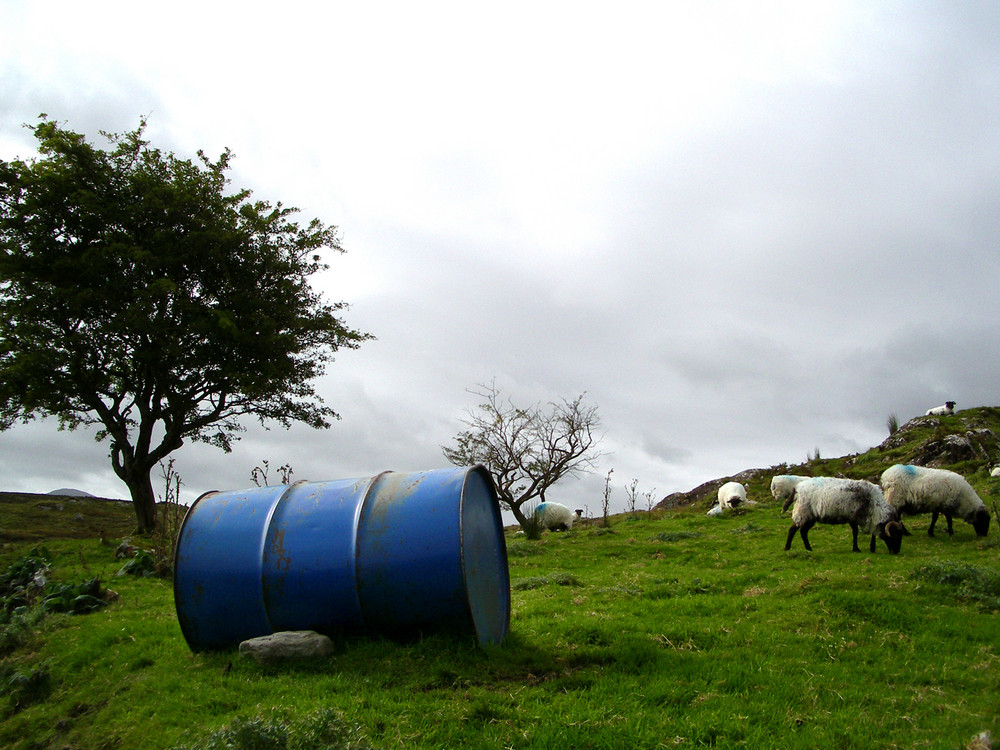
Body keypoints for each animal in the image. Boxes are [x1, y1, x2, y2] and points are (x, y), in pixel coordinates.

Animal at [780, 478, 908, 556]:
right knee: (793, 529)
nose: (896, 552)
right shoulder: (853, 517)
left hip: (810, 517)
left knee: (803, 531)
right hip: (802, 512)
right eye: (895, 535)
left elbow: (871, 533)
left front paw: (872, 548)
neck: (873, 505)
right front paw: (857, 549)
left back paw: (809, 548)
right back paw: (787, 548)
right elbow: (855, 532)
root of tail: (797, 489)